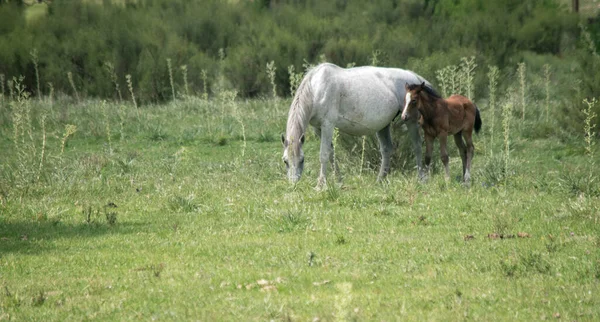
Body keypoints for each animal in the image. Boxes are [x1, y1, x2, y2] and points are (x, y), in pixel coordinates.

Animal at [282, 63, 436, 189]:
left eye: (302, 160)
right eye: (285, 161)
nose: (293, 184)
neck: (316, 89)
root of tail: (414, 78)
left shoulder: (328, 125)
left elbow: (324, 154)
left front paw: (320, 185)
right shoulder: (318, 128)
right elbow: (331, 154)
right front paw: (339, 181)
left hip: (411, 121)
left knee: (417, 147)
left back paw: (421, 179)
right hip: (383, 126)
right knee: (387, 150)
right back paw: (380, 180)